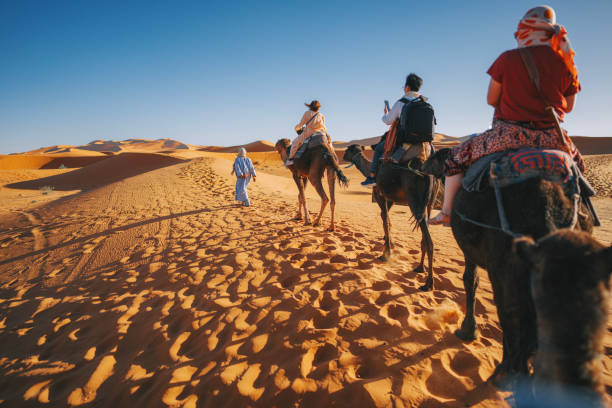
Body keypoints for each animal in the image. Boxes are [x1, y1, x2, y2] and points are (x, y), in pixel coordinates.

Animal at [344, 143, 440, 290]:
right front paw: (389, 245)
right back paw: (419, 268)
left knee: (429, 241)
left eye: (347, 150)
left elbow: (385, 219)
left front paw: (386, 253)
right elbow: (387, 220)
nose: (342, 156)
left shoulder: (379, 194)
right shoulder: (391, 199)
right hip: (430, 203)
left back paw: (428, 283)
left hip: (414, 200)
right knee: (425, 236)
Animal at [420, 148, 592, 388]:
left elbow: (470, 280)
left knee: (512, 316)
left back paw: (504, 375)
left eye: (432, 158)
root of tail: (548, 207)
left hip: (506, 271)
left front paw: (467, 330)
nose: (421, 166)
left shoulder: (471, 250)